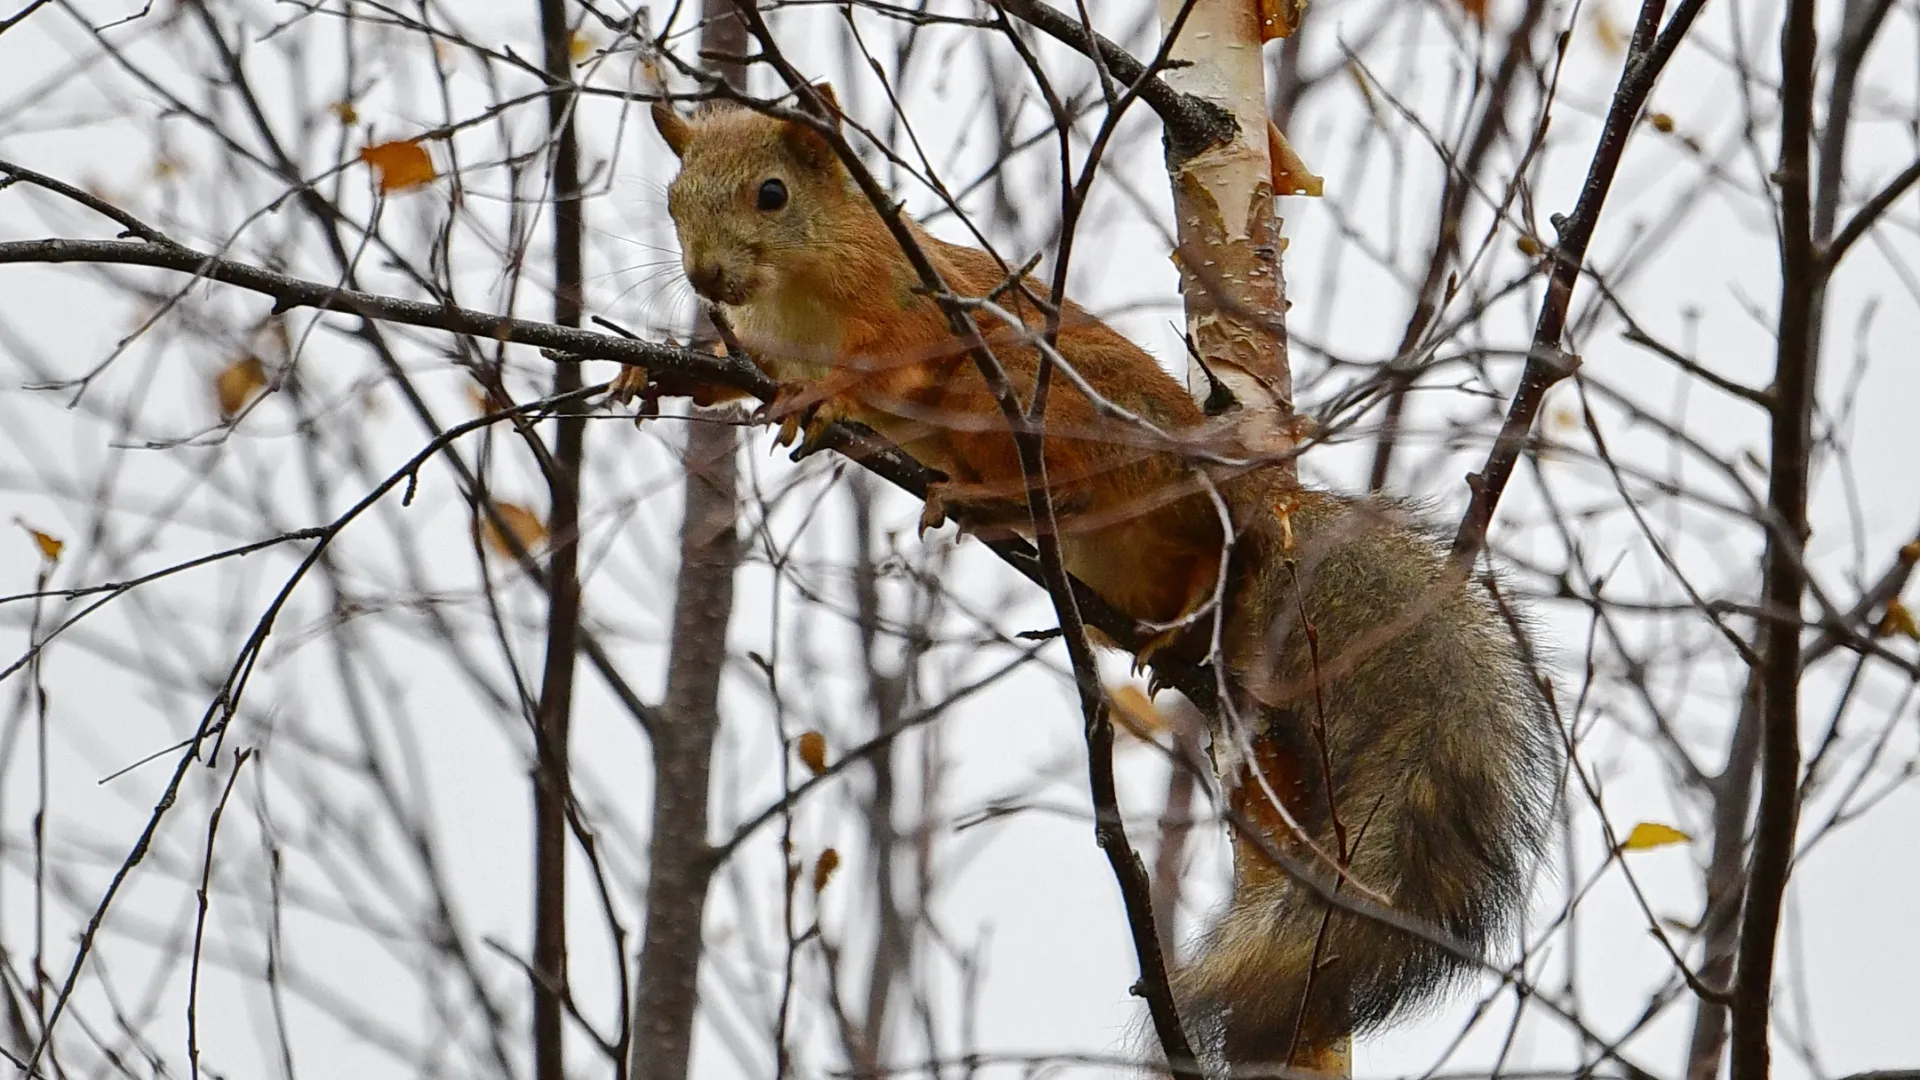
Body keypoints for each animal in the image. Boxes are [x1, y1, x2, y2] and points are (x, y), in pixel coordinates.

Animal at [641, 88, 1559, 1068]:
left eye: (772, 194)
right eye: (673, 197)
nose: (705, 278)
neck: (802, 291)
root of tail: (1245, 502)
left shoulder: (918, 308)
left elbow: (895, 361)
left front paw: (828, 400)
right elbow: (757, 369)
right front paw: (683, 383)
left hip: (1060, 406)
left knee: (1116, 509)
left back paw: (1012, 512)